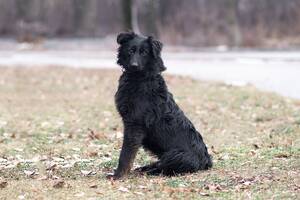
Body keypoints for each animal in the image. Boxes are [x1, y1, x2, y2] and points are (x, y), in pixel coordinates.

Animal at [109, 32, 212, 180]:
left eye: (144, 52)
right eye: (130, 51)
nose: (134, 65)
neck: (139, 78)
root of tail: (207, 161)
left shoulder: (134, 126)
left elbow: (125, 155)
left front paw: (118, 175)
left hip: (174, 155)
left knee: (164, 168)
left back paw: (150, 171)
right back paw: (145, 168)